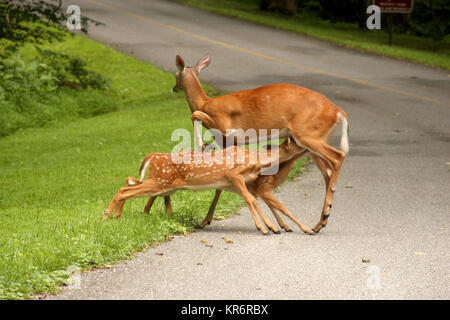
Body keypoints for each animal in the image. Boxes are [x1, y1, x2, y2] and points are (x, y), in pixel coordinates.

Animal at [103, 138, 312, 235]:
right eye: (298, 142)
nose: (312, 146)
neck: (255, 160)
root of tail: (152, 156)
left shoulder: (236, 183)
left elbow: (255, 200)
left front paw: (274, 226)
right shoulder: (233, 175)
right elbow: (253, 199)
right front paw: (267, 228)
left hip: (162, 183)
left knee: (129, 181)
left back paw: (116, 215)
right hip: (162, 181)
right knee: (125, 189)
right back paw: (105, 217)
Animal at [172, 53, 348, 231]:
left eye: (176, 74)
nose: (173, 88)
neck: (205, 102)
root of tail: (339, 111)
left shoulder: (224, 127)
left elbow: (195, 115)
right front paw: (279, 225)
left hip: (307, 135)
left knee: (337, 156)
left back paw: (323, 216)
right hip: (311, 140)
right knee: (327, 173)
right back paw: (319, 223)